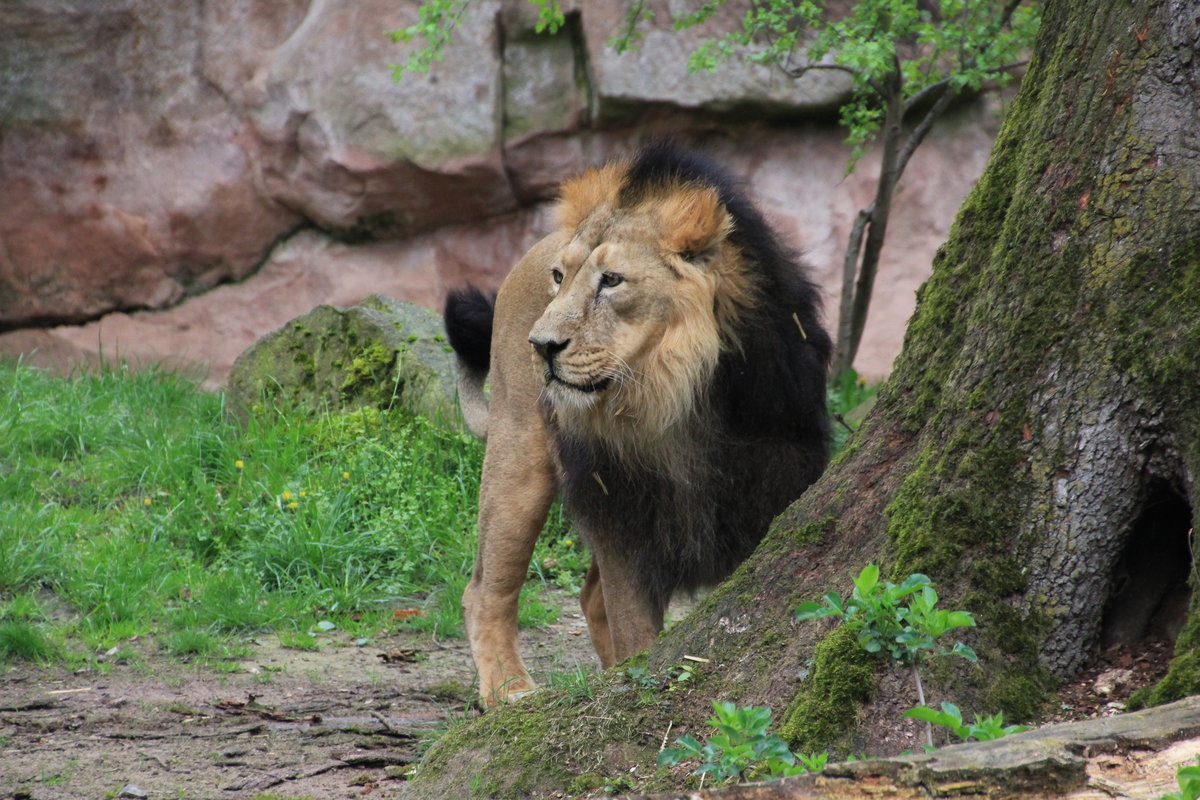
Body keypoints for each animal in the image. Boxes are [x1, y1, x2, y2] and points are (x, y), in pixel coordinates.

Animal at [446, 143, 830, 705]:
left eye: (611, 280)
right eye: (560, 278)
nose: (540, 345)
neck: (670, 400)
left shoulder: (771, 492)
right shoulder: (623, 516)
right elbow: (635, 630)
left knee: (586, 597)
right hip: (517, 457)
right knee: (484, 589)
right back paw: (509, 690)